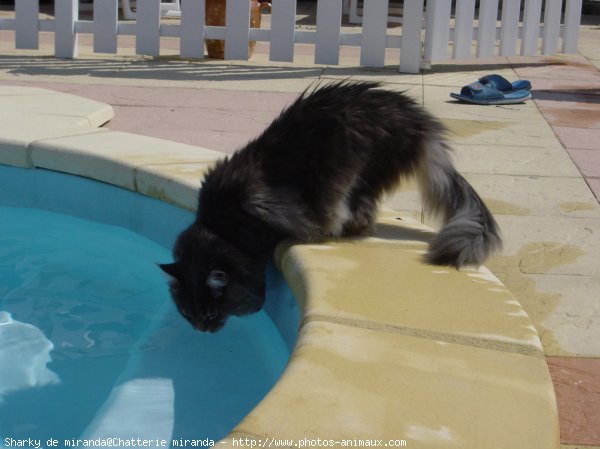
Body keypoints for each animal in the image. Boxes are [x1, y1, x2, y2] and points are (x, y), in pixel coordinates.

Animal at [159, 81, 502, 332]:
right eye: (188, 313)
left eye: (210, 313)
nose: (201, 329)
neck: (224, 226)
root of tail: (418, 121)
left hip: (356, 174)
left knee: (361, 215)